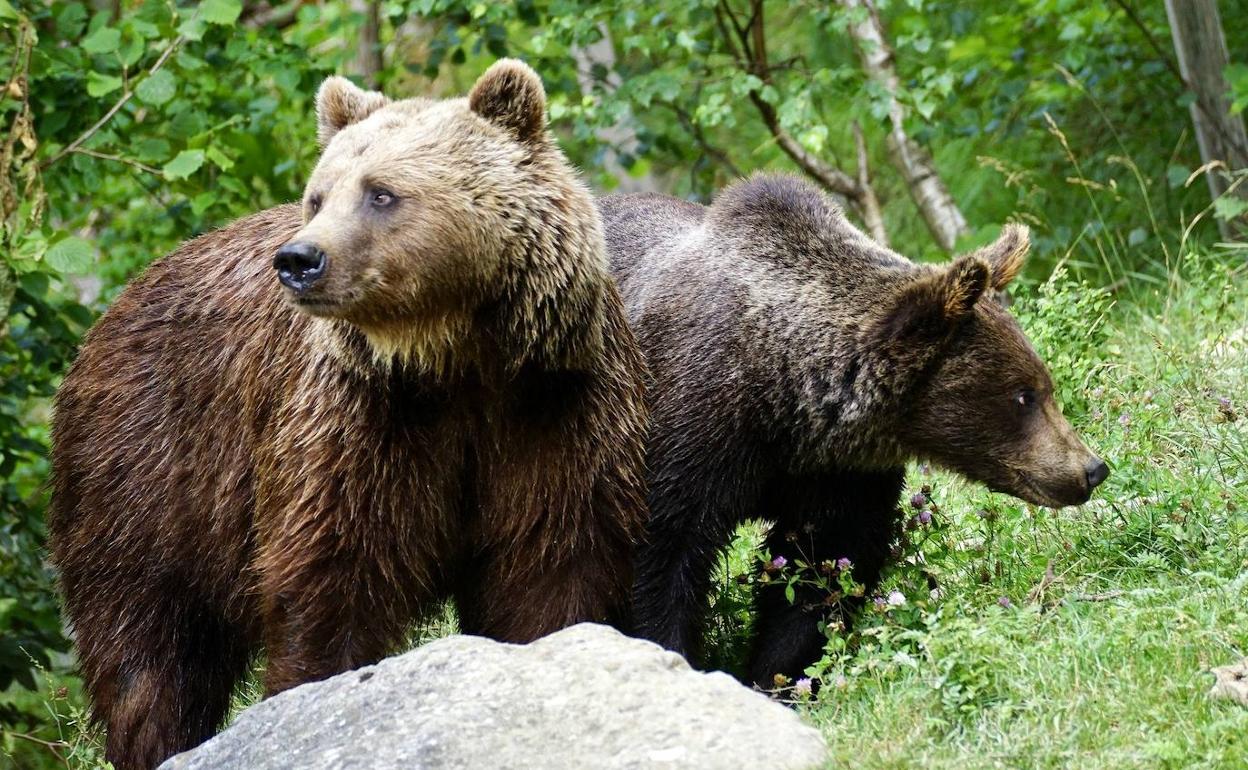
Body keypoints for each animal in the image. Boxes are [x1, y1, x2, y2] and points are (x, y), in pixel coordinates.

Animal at [48, 61, 648, 768]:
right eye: (318, 196)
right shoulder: (357, 421)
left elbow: (552, 566)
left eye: (380, 193)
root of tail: (111, 314)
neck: (453, 359)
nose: (298, 260)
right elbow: (334, 577)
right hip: (148, 471)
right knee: (146, 649)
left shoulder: (553, 408)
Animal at [599, 175, 1108, 688]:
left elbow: (822, 572)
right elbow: (661, 560)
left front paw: (782, 676)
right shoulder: (691, 432)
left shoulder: (840, 474)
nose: (1092, 468)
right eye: (1024, 395)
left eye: (1043, 385)